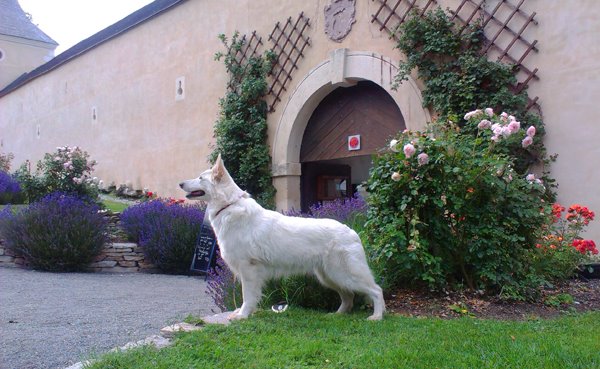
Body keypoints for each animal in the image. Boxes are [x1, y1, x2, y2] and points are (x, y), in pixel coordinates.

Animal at [178, 154, 384, 318]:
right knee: (348, 296)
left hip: (345, 274)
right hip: (330, 276)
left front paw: (243, 315)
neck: (229, 205)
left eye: (200, 178)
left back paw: (377, 317)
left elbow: (247, 296)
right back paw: (337, 315)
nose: (180, 183)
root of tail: (351, 231)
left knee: (376, 290)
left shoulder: (248, 269)